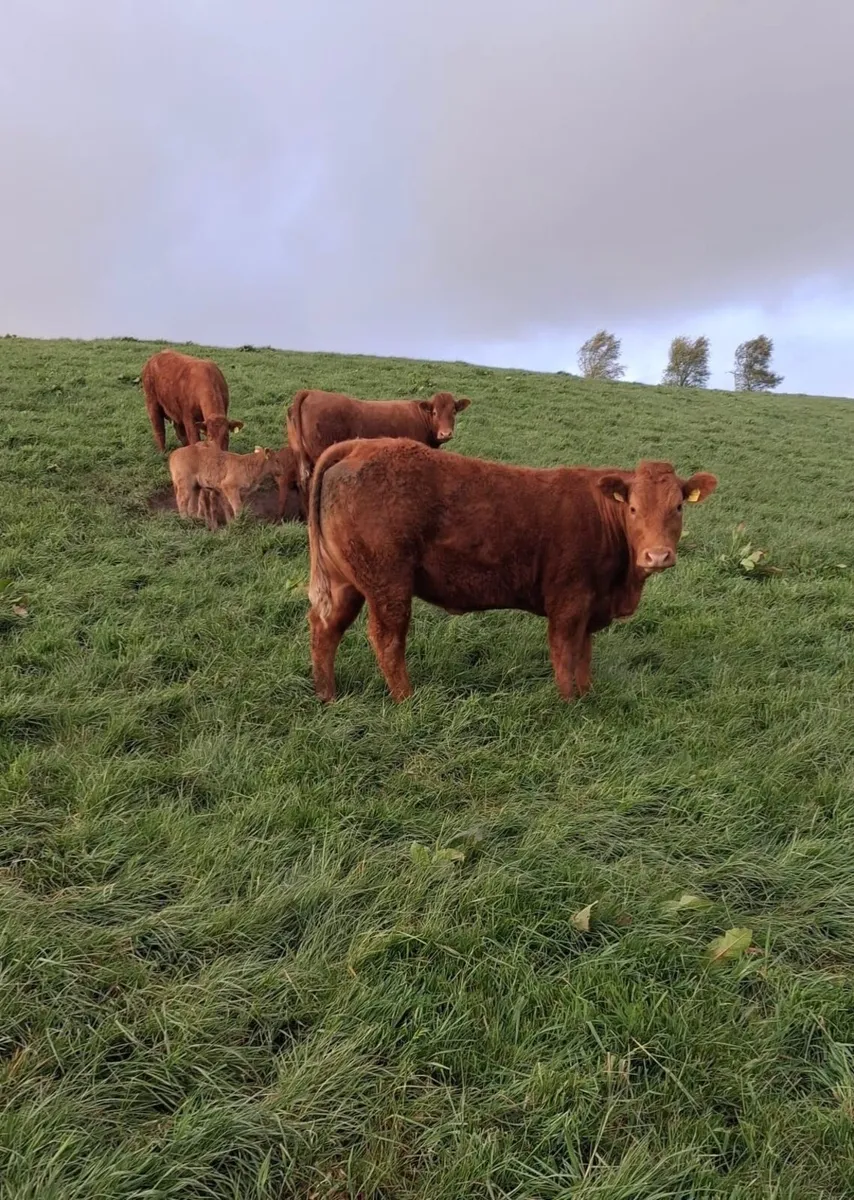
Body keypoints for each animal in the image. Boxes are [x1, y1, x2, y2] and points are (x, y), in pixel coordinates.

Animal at [306, 438, 717, 703]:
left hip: (345, 582)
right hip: (388, 583)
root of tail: (361, 445)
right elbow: (564, 653)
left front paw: (588, 695)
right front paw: (569, 704)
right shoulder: (568, 602)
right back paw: (407, 699)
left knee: (325, 627)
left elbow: (584, 655)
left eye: (678, 507)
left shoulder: (590, 607)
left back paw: (328, 695)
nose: (657, 555)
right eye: (633, 509)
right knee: (387, 639)